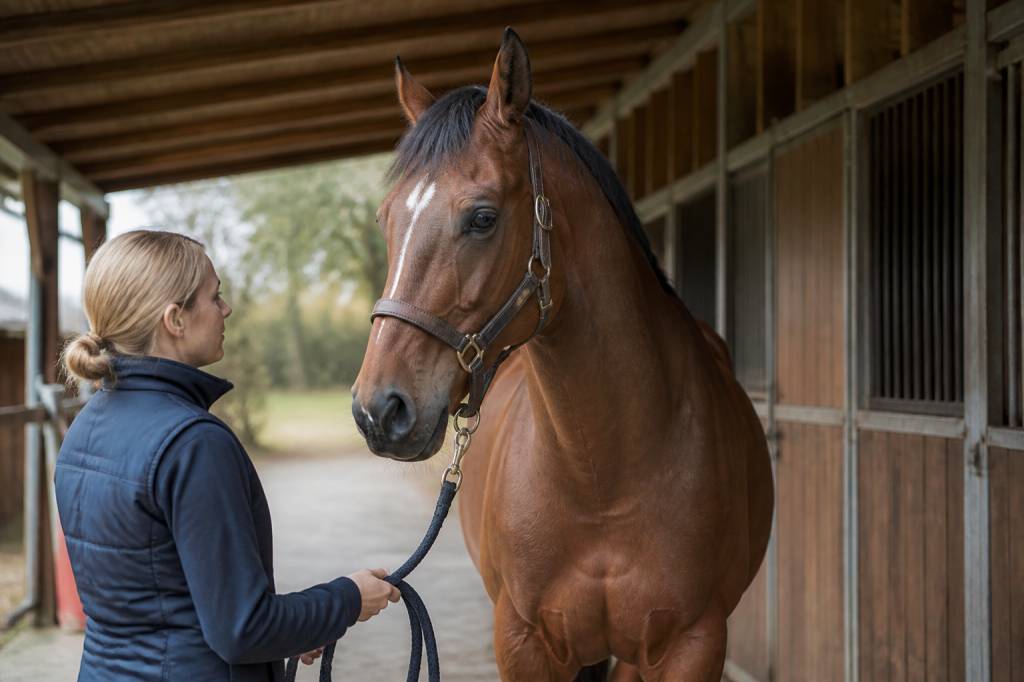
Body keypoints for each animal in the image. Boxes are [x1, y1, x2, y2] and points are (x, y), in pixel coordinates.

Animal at [351, 30, 774, 682]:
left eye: (482, 217)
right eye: (386, 219)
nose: (379, 410)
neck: (602, 481)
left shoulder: (692, 645)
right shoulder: (522, 641)